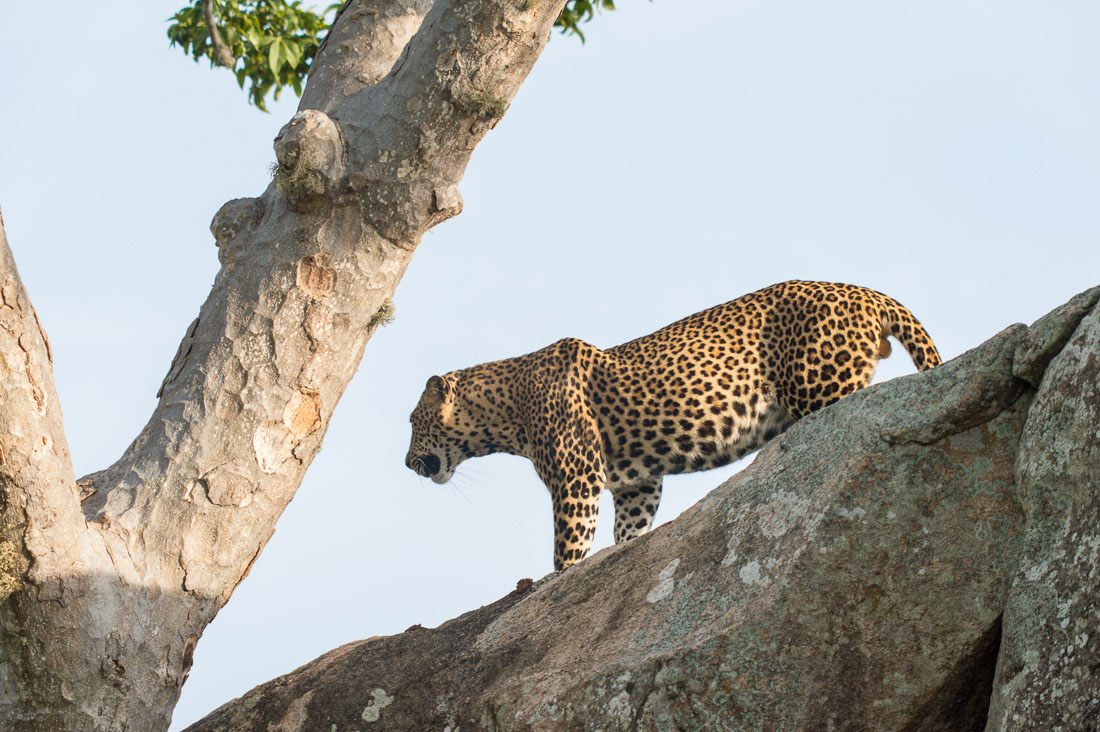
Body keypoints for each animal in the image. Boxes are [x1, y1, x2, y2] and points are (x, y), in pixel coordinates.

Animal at [409, 279, 941, 572]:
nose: (407, 461)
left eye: (414, 422)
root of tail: (863, 292)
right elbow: (629, 529)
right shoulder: (636, 482)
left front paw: (555, 581)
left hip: (821, 389)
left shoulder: (577, 479)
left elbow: (568, 545)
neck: (505, 410)